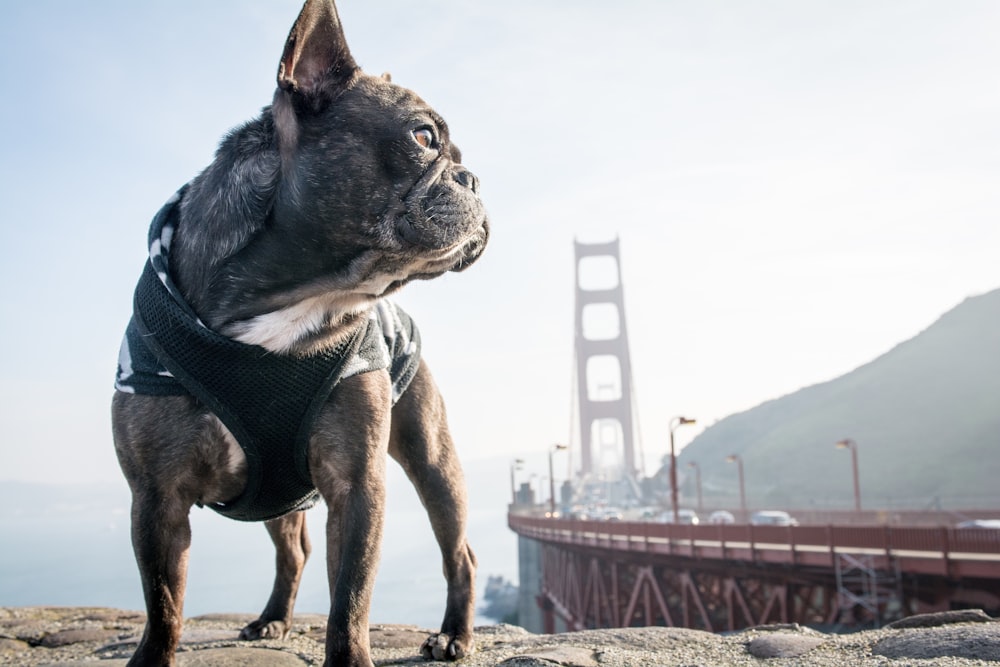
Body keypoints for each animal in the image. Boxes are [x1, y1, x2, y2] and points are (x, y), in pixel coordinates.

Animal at [111, 2, 486, 664]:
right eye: (424, 137)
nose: (472, 178)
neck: (289, 302)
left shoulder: (357, 486)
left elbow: (351, 599)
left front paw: (352, 654)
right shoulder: (154, 500)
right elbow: (163, 604)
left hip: (432, 454)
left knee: (458, 550)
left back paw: (454, 636)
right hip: (276, 493)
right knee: (293, 551)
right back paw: (272, 618)